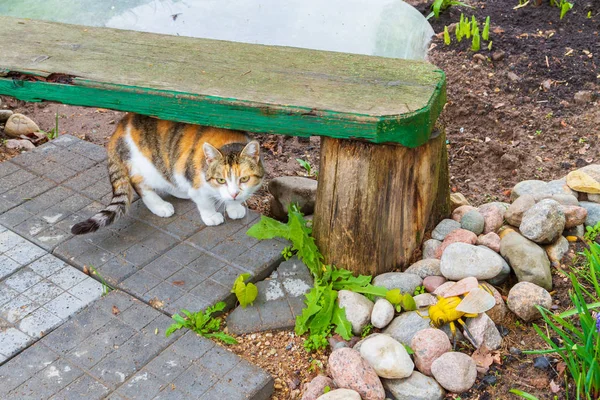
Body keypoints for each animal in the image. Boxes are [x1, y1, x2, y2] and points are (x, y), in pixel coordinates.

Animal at [71, 113, 264, 234]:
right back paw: (160, 206)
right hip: (145, 164)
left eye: (244, 179)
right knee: (139, 184)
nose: (234, 193)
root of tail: (117, 130)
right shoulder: (195, 181)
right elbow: (204, 201)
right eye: (221, 180)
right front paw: (211, 215)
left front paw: (234, 206)